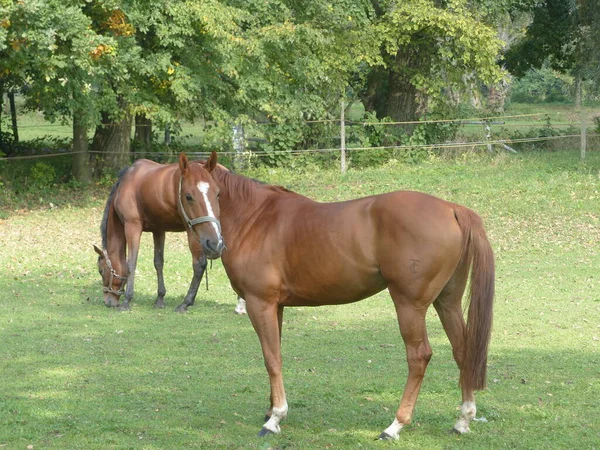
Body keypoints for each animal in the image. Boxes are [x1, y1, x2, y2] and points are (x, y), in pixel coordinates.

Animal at [94, 153, 227, 312]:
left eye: (101, 271)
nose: (108, 301)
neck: (129, 181)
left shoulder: (132, 226)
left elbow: (131, 263)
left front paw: (127, 300)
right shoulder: (158, 230)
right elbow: (158, 262)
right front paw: (160, 298)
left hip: (197, 234)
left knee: (199, 264)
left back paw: (186, 302)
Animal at [209, 157, 494, 440]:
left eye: (212, 193)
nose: (212, 244)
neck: (255, 217)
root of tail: (452, 208)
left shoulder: (260, 304)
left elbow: (271, 358)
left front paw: (274, 418)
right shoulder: (275, 307)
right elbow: (274, 353)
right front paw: (272, 412)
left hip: (410, 307)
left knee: (419, 357)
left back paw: (395, 425)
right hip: (448, 303)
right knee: (462, 350)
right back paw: (463, 419)